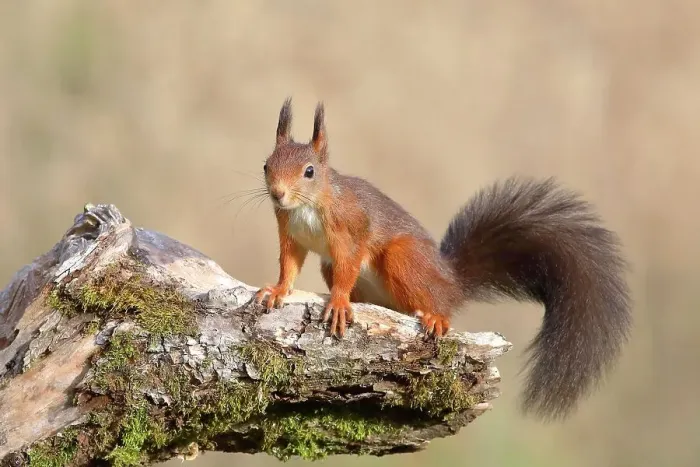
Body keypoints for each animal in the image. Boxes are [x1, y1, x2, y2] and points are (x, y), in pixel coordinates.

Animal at [254, 98, 632, 420]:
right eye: (266, 165)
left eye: (309, 171)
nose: (278, 194)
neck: (307, 206)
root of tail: (452, 281)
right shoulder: (289, 232)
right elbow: (289, 265)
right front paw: (278, 290)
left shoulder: (349, 230)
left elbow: (348, 265)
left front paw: (338, 302)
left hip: (402, 258)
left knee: (439, 304)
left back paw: (436, 317)